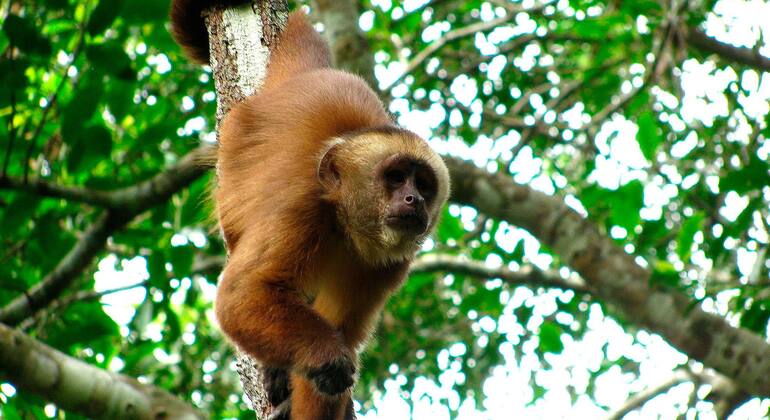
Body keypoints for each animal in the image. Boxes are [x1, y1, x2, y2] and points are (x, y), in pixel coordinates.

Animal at [170, 1, 448, 418]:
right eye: (396, 178)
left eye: (423, 185)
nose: (413, 200)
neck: (343, 226)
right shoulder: (302, 211)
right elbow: (240, 295)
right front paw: (326, 357)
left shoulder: (389, 265)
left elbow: (340, 337)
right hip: (235, 138)